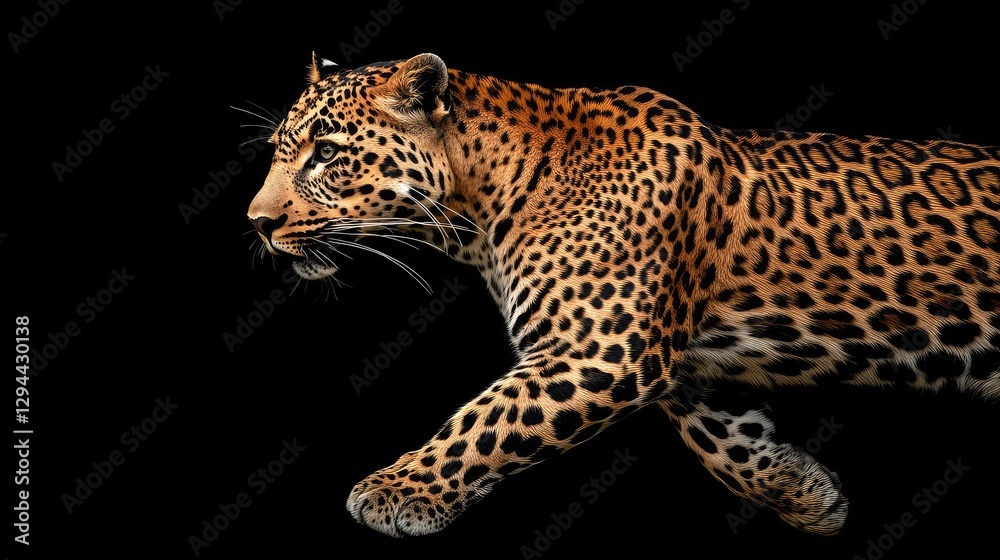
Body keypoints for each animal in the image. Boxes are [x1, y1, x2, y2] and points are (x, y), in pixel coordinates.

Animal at [246, 52, 1000, 538]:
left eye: (325, 153)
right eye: (282, 150)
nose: (257, 222)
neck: (480, 205)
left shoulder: (600, 350)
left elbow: (489, 418)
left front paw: (399, 489)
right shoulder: (680, 358)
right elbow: (720, 438)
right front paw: (803, 492)